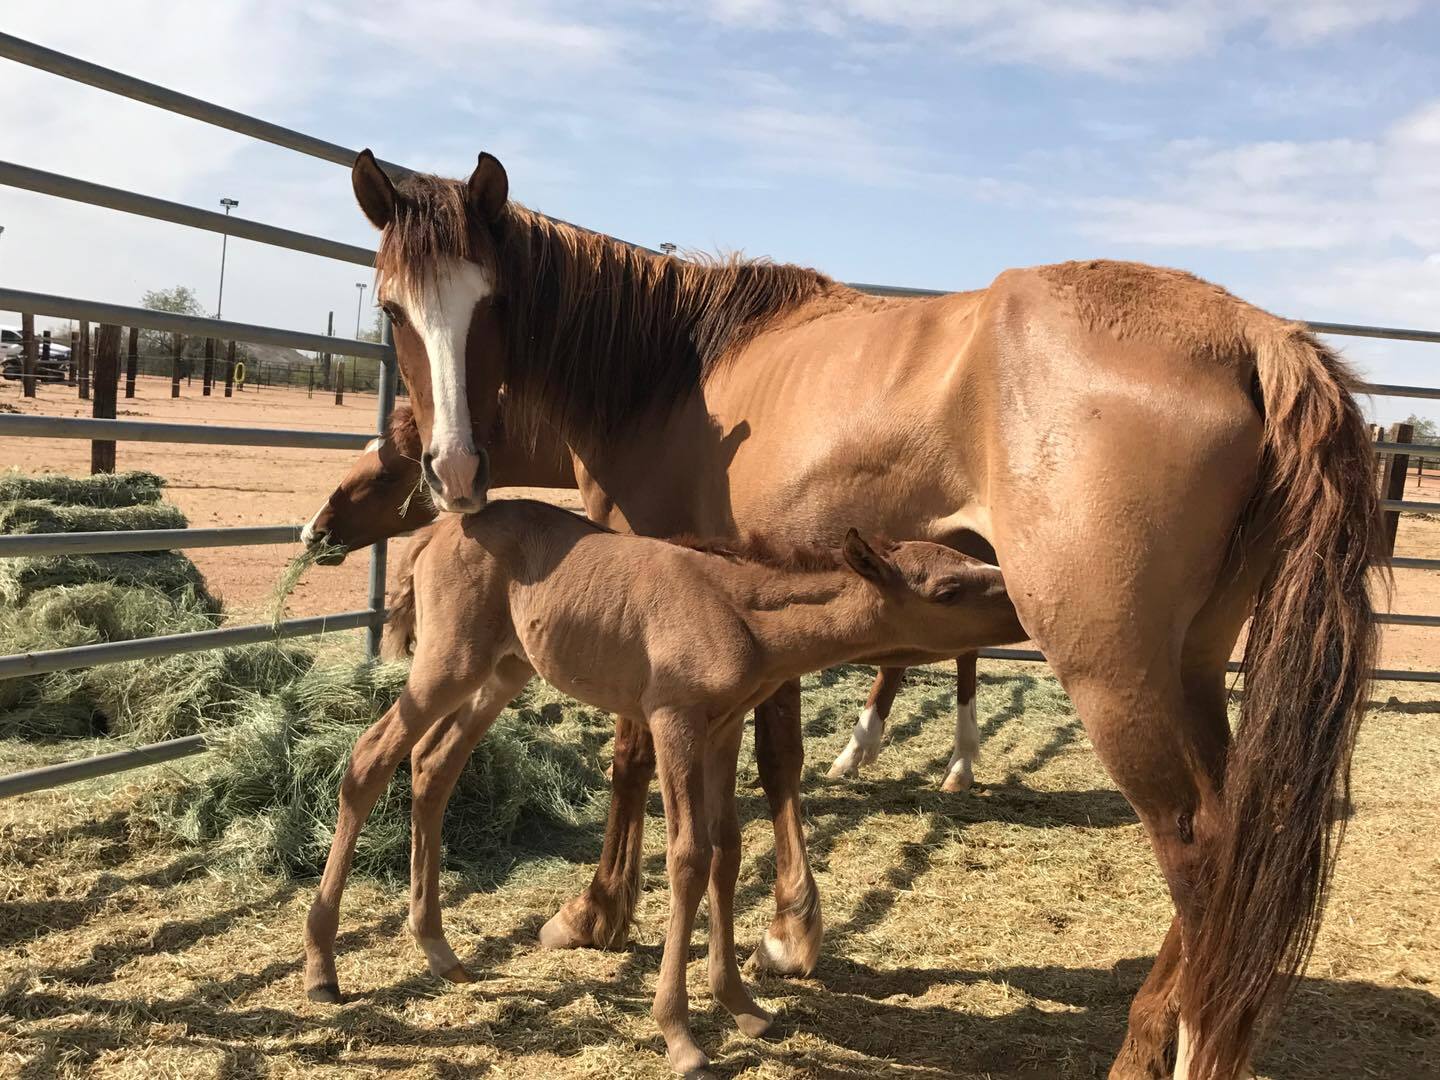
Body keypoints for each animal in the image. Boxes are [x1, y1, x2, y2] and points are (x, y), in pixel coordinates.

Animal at [303, 499, 1025, 1076]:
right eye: (949, 589)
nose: (1022, 603)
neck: (743, 615)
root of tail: (435, 531)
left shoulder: (722, 729)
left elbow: (728, 853)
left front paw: (742, 1005)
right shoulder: (673, 719)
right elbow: (687, 857)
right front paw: (680, 1034)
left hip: (502, 669)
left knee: (433, 767)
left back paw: (438, 951)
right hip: (448, 664)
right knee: (370, 761)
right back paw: (322, 968)